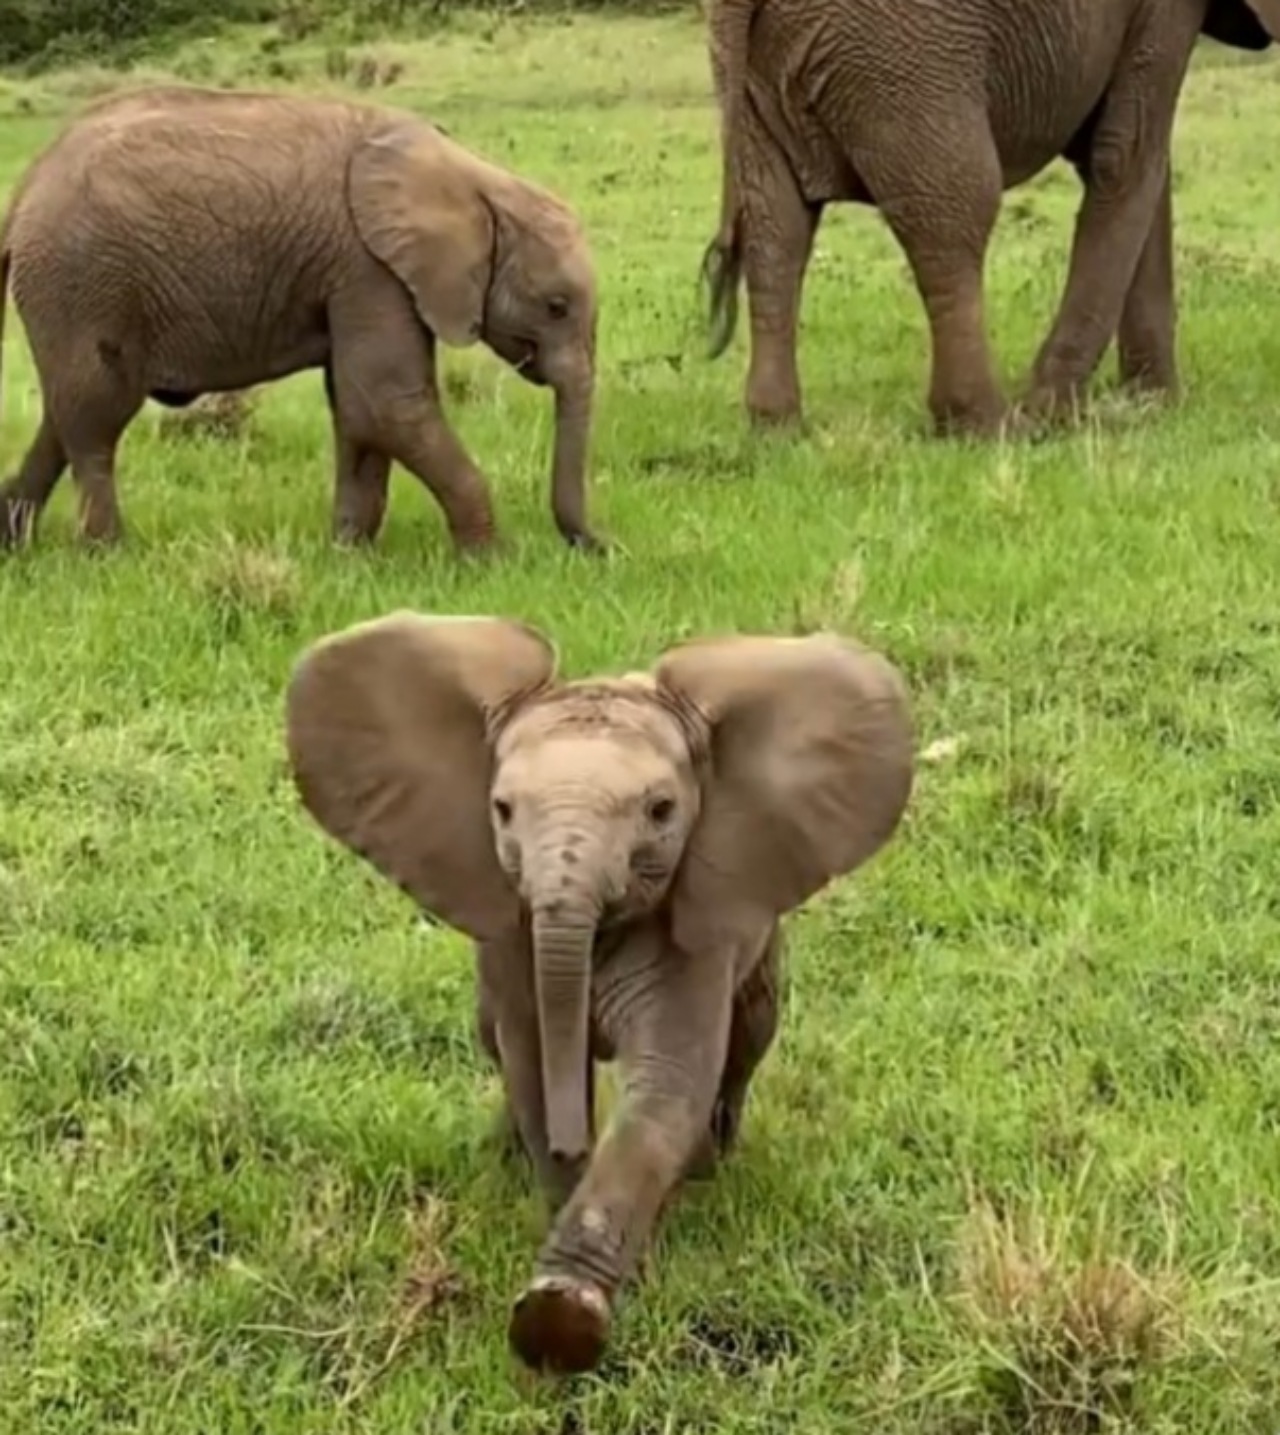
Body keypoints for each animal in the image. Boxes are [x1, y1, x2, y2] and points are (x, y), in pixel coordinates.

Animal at [0, 85, 602, 553]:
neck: (473, 180)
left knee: (67, 414)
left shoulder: (362, 276)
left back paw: (15, 544)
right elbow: (386, 403)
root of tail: (26, 187)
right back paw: (109, 553)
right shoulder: (368, 267)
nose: (599, 549)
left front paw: (350, 556)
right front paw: (491, 560)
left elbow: (357, 411)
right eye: (556, 307)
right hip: (82, 280)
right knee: (97, 414)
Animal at [285, 611, 912, 1371]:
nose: (566, 1149)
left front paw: (560, 1312)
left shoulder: (696, 933)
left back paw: (708, 1167)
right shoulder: (512, 935)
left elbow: (667, 1083)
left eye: (661, 810)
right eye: (501, 810)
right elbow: (530, 1061)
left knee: (750, 1037)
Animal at [700, 0, 1280, 436]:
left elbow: (1128, 156)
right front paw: (1053, 414)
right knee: (956, 213)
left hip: (766, 77)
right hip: (906, 61)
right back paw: (992, 427)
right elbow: (1127, 151)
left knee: (777, 228)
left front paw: (1152, 405)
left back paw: (777, 428)